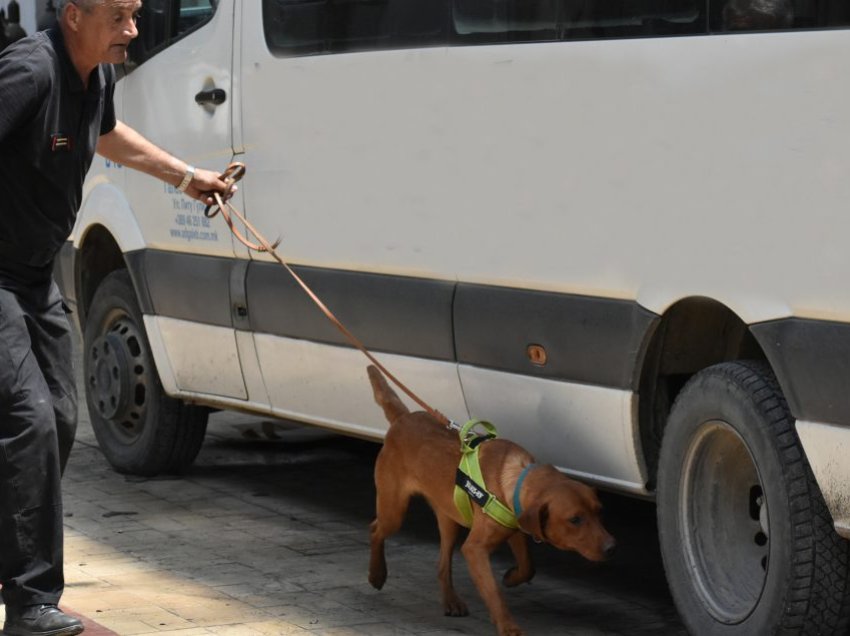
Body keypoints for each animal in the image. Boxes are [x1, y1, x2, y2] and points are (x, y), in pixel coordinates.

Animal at [364, 368, 616, 636]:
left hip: (449, 518)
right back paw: (376, 574)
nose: (612, 547)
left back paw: (451, 601)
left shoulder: (515, 527)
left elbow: (528, 565)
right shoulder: (475, 550)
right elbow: (494, 592)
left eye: (600, 512)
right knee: (376, 529)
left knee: (442, 565)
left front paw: (512, 577)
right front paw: (508, 626)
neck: (517, 477)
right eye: (575, 519)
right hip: (394, 510)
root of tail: (403, 418)